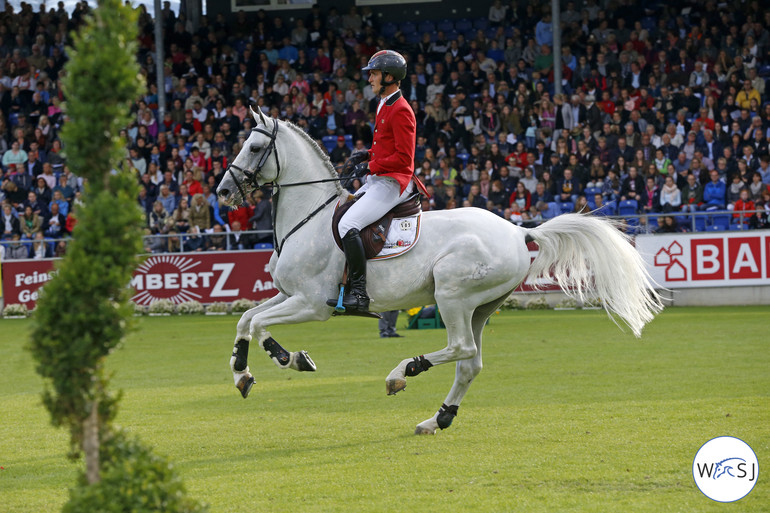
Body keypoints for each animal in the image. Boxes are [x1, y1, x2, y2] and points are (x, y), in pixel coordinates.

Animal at [216, 108, 660, 432]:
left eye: (255, 146)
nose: (222, 192)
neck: (309, 216)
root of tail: (518, 231)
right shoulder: (288, 295)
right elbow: (245, 319)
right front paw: (241, 374)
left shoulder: (312, 304)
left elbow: (259, 325)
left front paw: (290, 359)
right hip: (479, 307)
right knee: (471, 363)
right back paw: (438, 418)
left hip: (452, 295)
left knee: (461, 349)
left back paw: (403, 372)